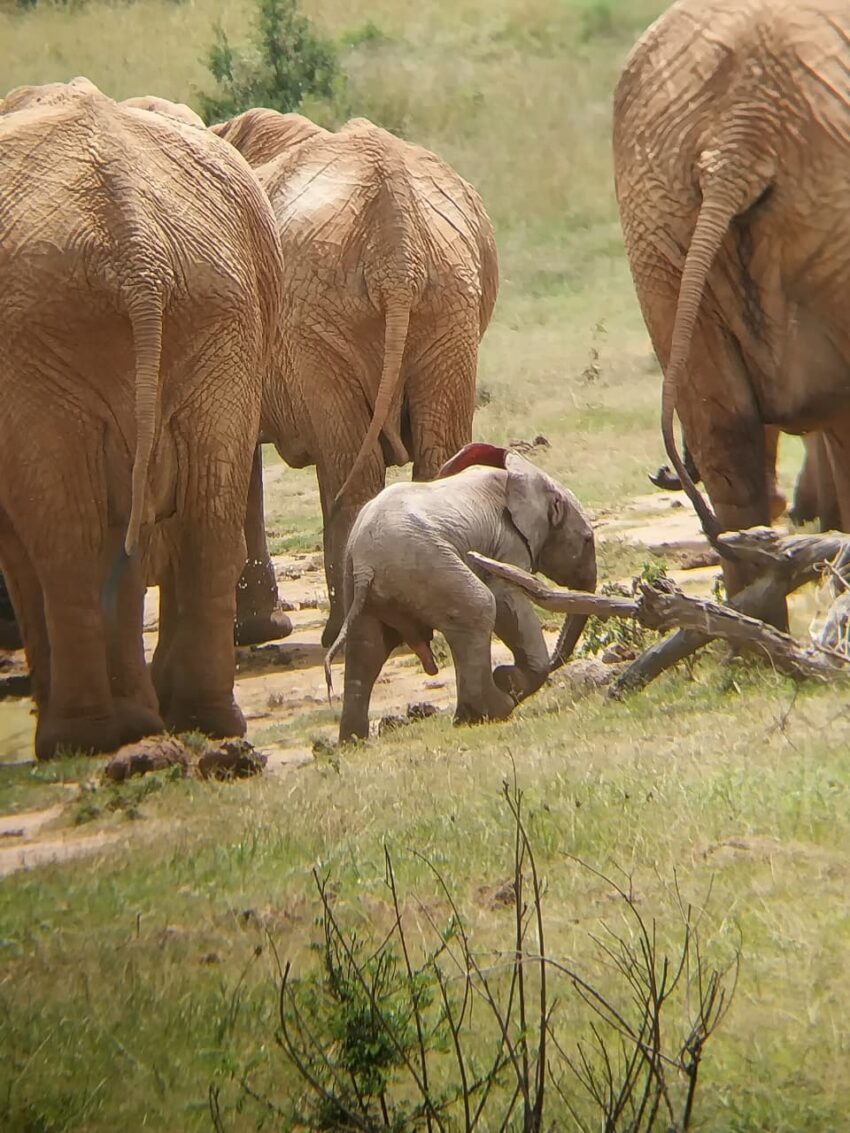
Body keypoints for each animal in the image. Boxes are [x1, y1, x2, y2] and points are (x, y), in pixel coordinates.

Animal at [0, 78, 283, 759]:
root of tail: (139, 251)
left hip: (45, 339)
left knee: (68, 536)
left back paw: (79, 738)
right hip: (223, 315)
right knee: (205, 517)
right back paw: (203, 721)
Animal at [212, 110, 499, 647]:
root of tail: (397, 250)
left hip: (323, 316)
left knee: (350, 468)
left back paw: (343, 635)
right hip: (449, 300)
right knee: (438, 453)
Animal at [324, 442, 596, 743]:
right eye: (588, 540)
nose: (506, 675)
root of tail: (365, 565)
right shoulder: (508, 542)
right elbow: (507, 600)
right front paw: (508, 680)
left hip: (361, 584)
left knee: (366, 647)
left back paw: (353, 742)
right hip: (428, 567)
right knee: (480, 607)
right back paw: (488, 713)